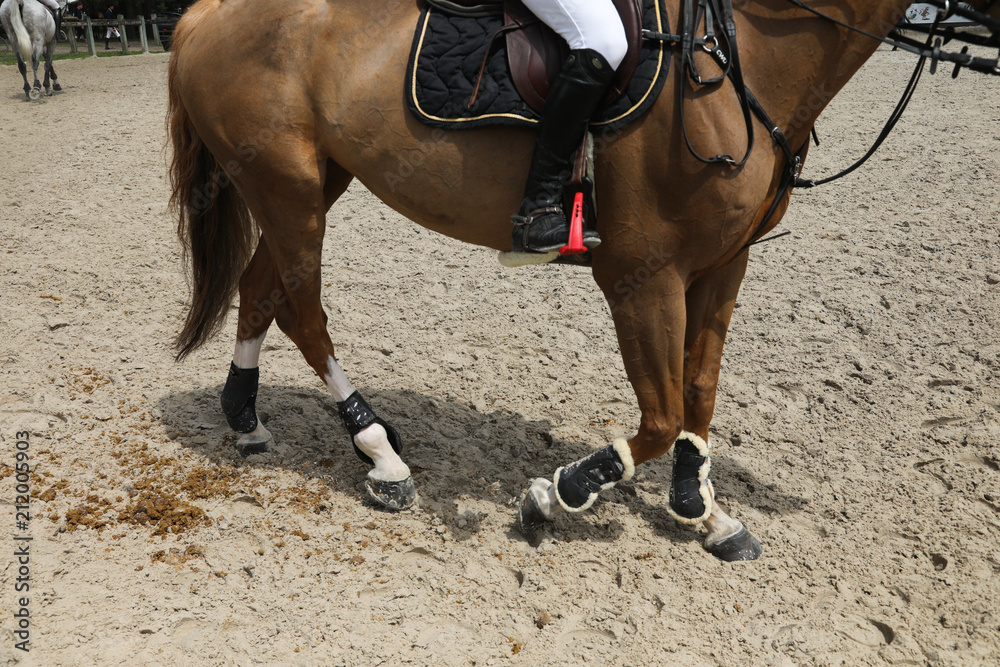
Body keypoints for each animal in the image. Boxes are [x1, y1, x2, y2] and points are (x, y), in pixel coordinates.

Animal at [166, 0, 1000, 561]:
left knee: (260, 288)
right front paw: (558, 492)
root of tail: (208, 13)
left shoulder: (724, 263)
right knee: (302, 308)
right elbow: (660, 414)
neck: (740, 58)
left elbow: (699, 392)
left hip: (307, 183)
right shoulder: (642, 274)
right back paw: (380, 454)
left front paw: (704, 510)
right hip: (290, 190)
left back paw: (245, 417)